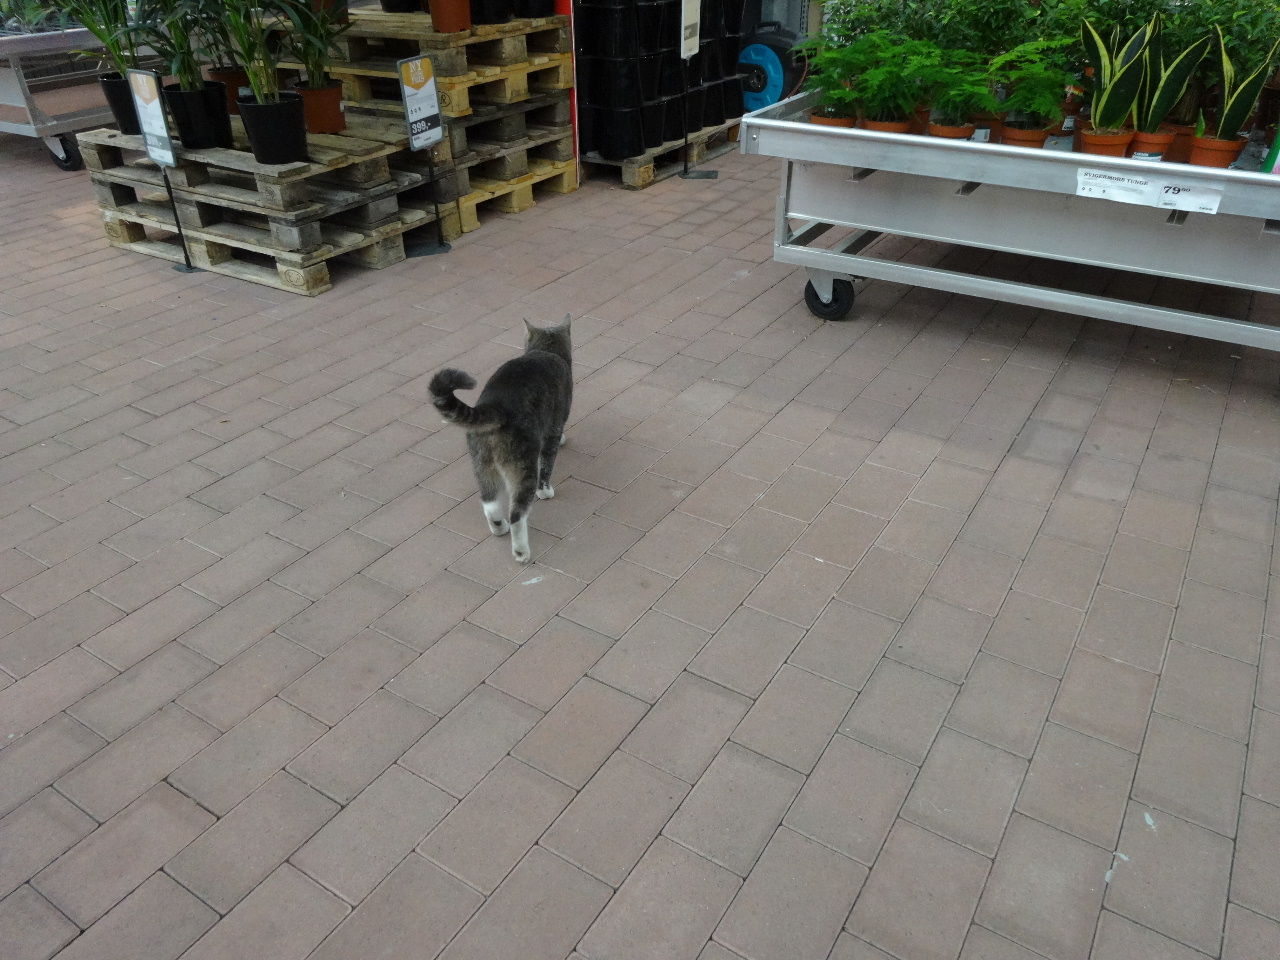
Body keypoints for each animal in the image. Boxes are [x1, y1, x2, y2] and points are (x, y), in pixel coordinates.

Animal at [428, 317, 573, 564]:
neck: (546, 350)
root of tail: (495, 406)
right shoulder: (553, 428)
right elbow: (547, 464)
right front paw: (546, 492)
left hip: (482, 464)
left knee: (489, 504)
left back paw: (499, 527)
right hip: (523, 467)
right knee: (517, 514)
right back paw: (521, 551)